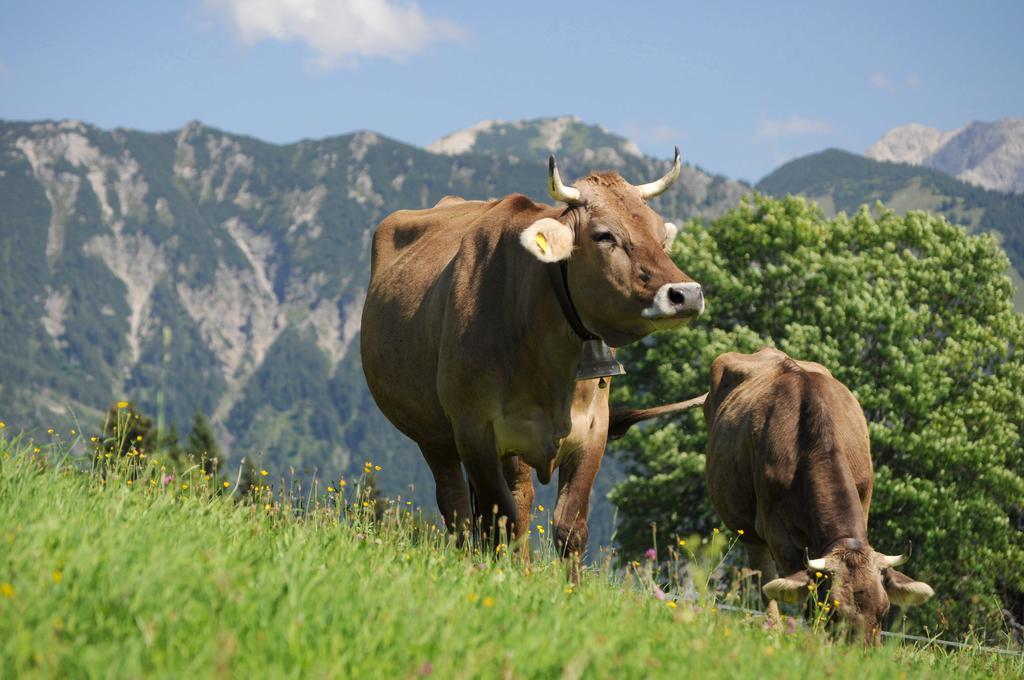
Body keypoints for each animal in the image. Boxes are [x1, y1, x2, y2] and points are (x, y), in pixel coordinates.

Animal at [360, 151, 704, 557]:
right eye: (604, 235)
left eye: (660, 235)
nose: (686, 294)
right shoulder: (474, 429)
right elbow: (498, 522)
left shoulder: (594, 429)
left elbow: (569, 527)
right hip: (434, 436)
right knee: (459, 509)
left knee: (518, 498)